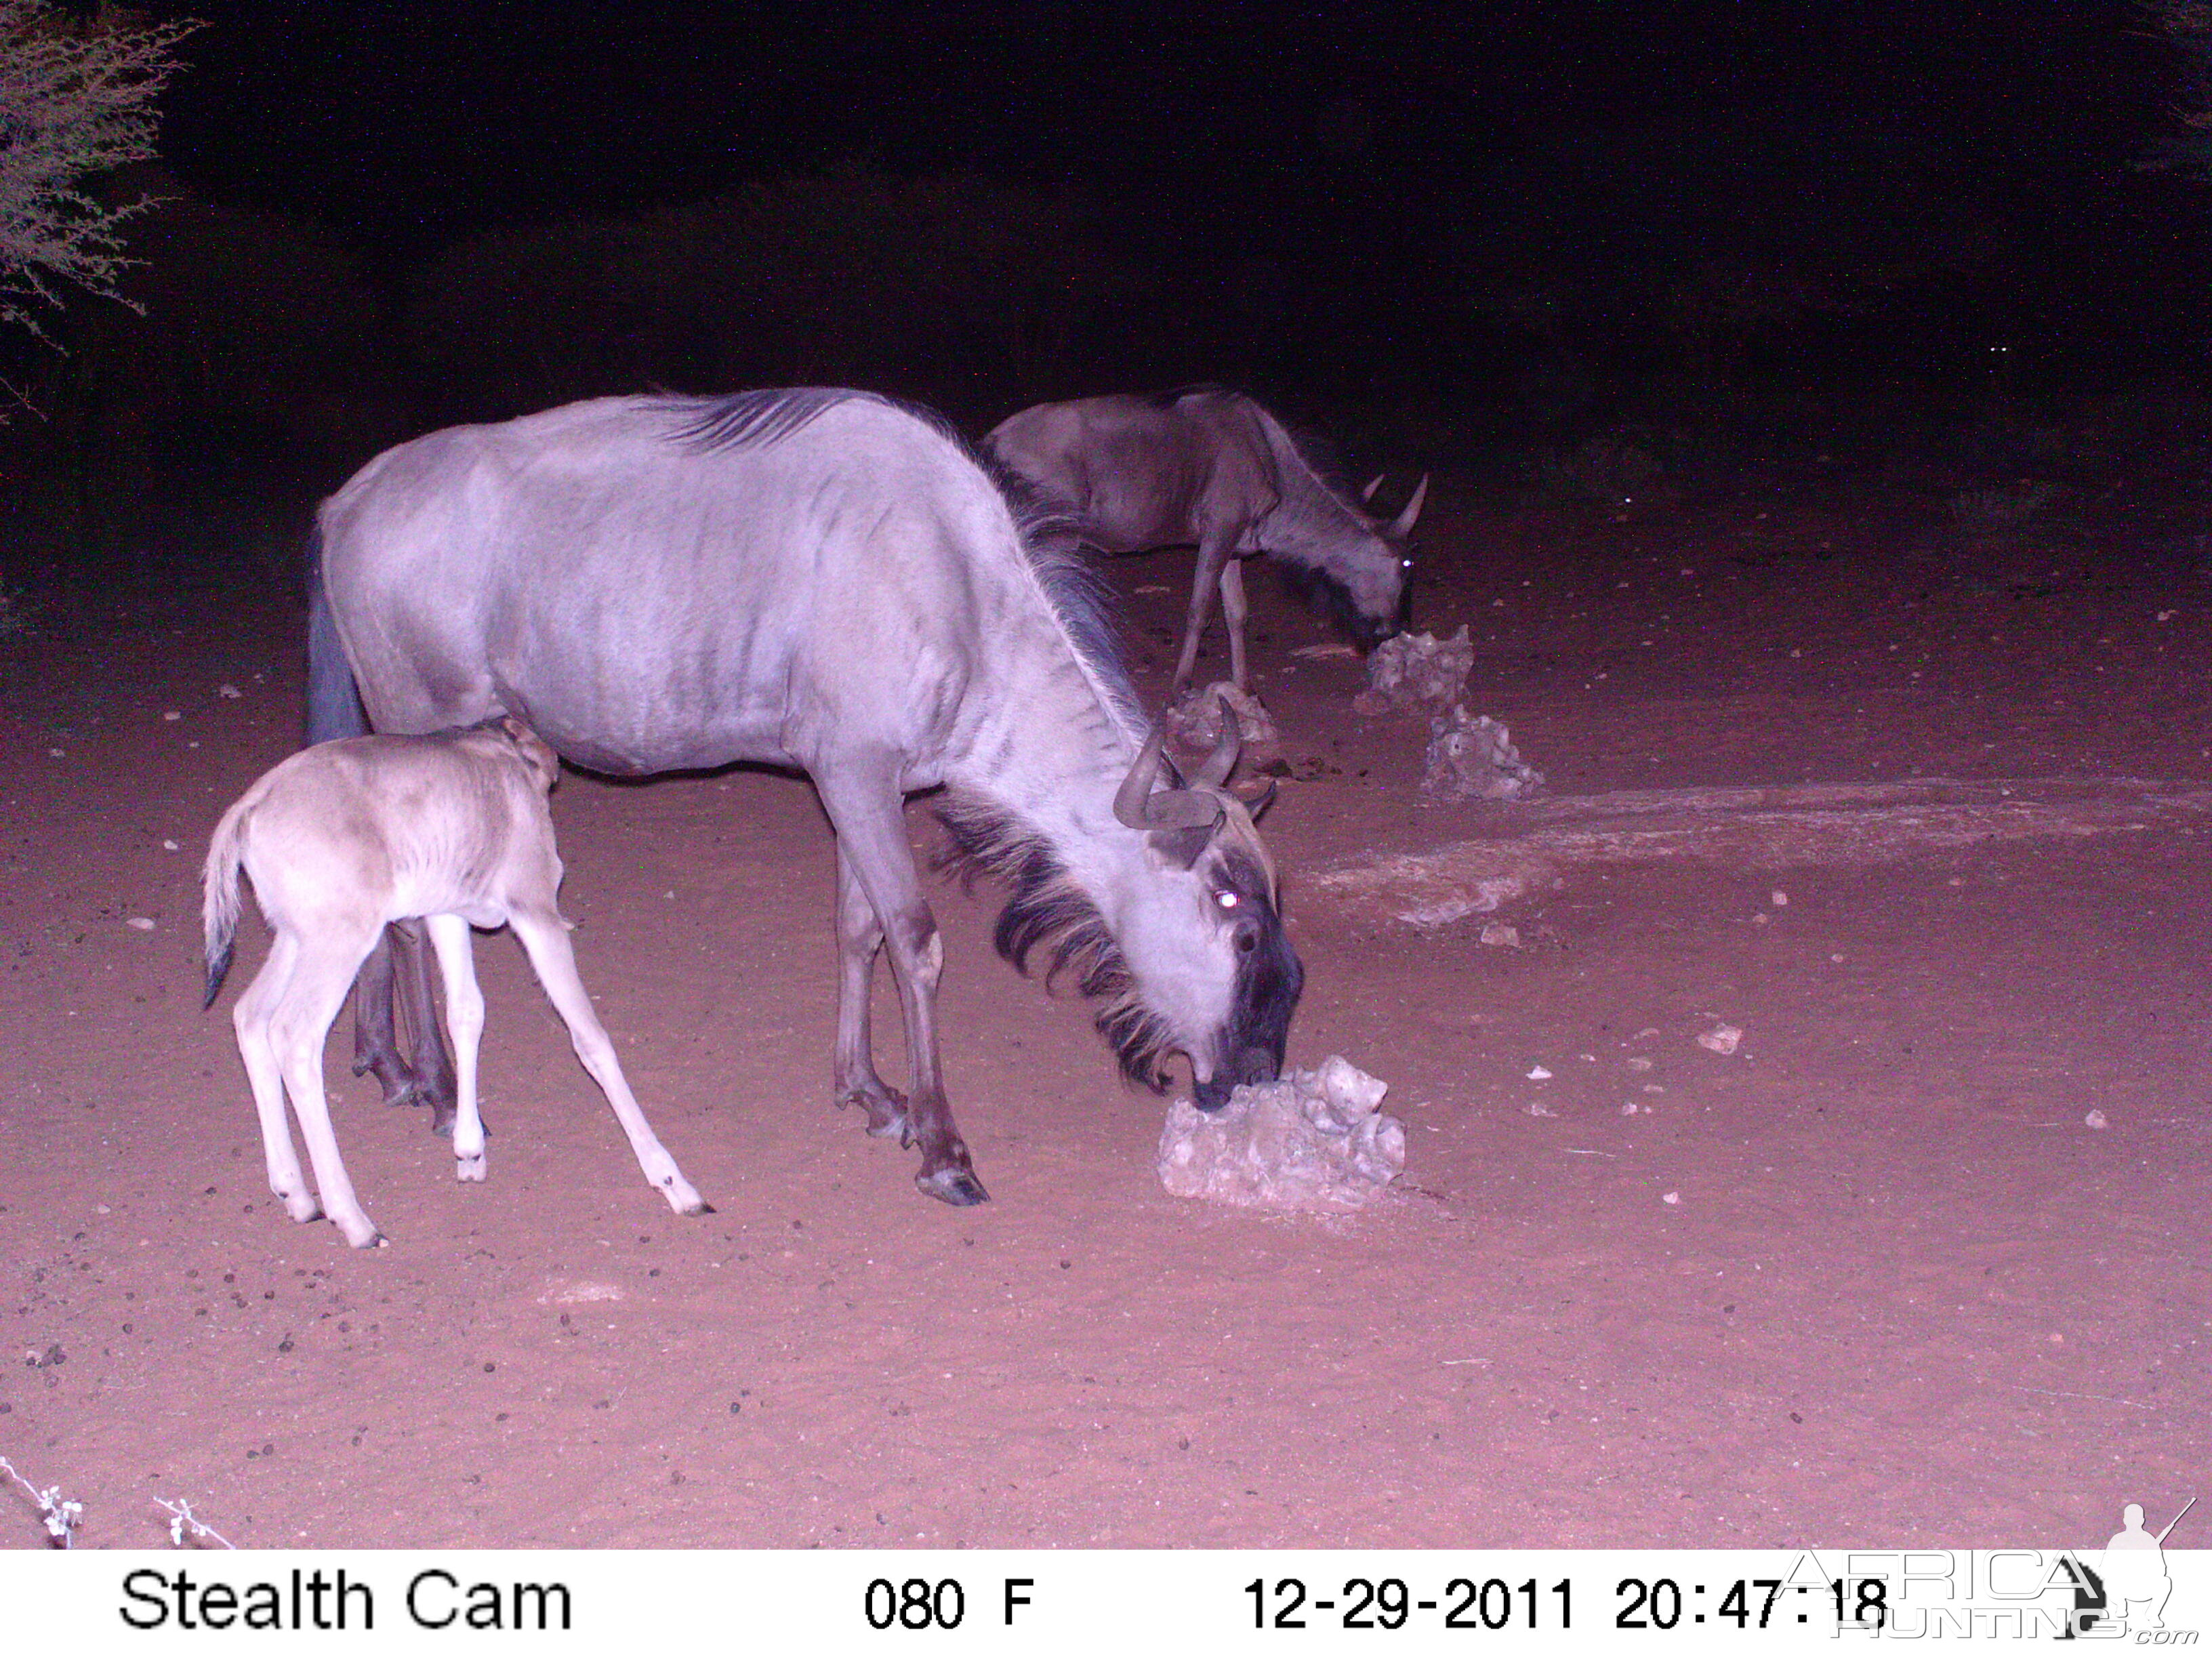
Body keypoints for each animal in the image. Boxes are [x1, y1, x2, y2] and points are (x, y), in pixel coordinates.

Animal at [199, 716, 703, 1247]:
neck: (510, 766)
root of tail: (251, 804)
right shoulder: (537, 913)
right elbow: (591, 1039)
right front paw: (672, 1180)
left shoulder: (447, 914)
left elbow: (466, 1013)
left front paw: (470, 1151)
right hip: (339, 942)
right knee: (295, 1036)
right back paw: (352, 1218)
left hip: (296, 939)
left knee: (250, 1015)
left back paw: (295, 1194)